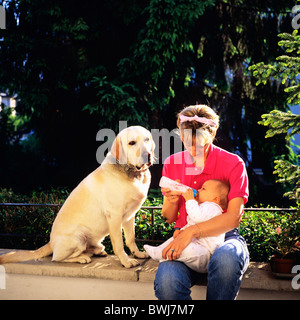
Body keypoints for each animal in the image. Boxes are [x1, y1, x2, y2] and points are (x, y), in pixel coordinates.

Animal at [0, 125, 155, 268]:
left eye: (147, 139)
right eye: (132, 143)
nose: (147, 155)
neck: (133, 174)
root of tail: (51, 242)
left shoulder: (129, 216)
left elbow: (131, 239)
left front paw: (137, 254)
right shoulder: (115, 216)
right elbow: (119, 244)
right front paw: (126, 261)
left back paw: (97, 251)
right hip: (79, 238)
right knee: (57, 258)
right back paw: (82, 258)